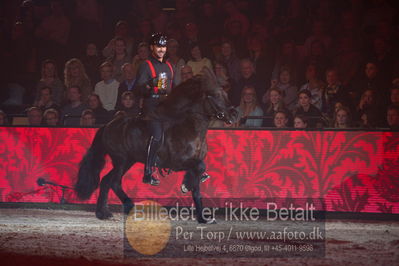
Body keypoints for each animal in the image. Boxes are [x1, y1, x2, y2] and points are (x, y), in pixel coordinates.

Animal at [75, 68, 238, 222]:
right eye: (215, 95)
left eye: (225, 93)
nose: (234, 114)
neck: (190, 128)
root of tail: (108, 125)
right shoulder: (177, 163)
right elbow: (199, 167)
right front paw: (185, 185)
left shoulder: (193, 164)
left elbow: (197, 186)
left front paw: (203, 217)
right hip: (121, 159)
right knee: (114, 182)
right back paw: (130, 207)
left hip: (128, 160)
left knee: (106, 181)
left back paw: (103, 213)